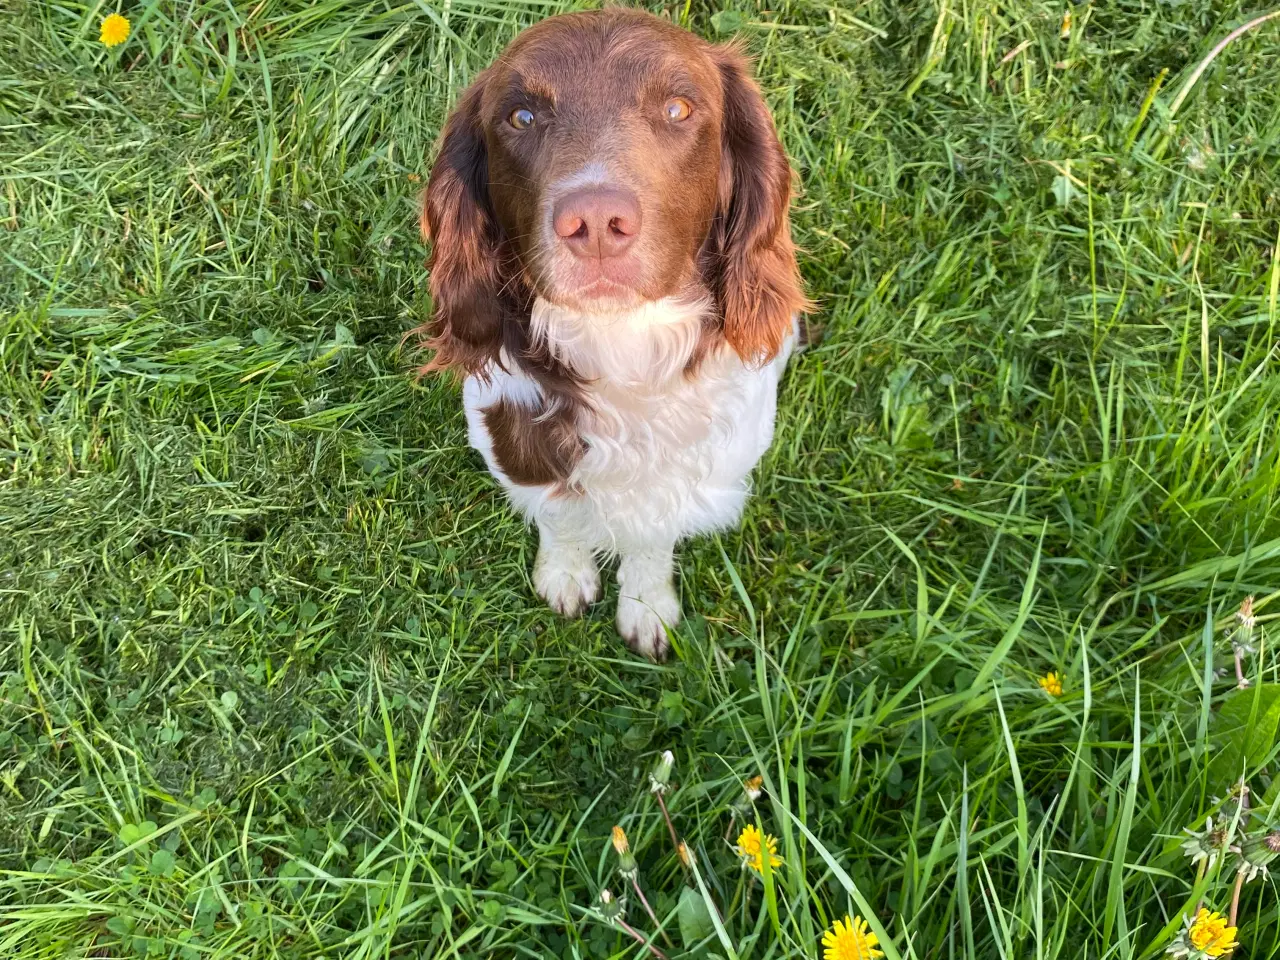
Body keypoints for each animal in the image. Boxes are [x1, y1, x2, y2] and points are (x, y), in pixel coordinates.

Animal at [414, 7, 803, 660]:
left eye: (678, 108)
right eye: (521, 117)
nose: (594, 221)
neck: (622, 344)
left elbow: (652, 533)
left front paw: (646, 604)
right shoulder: (514, 435)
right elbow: (560, 513)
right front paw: (566, 573)